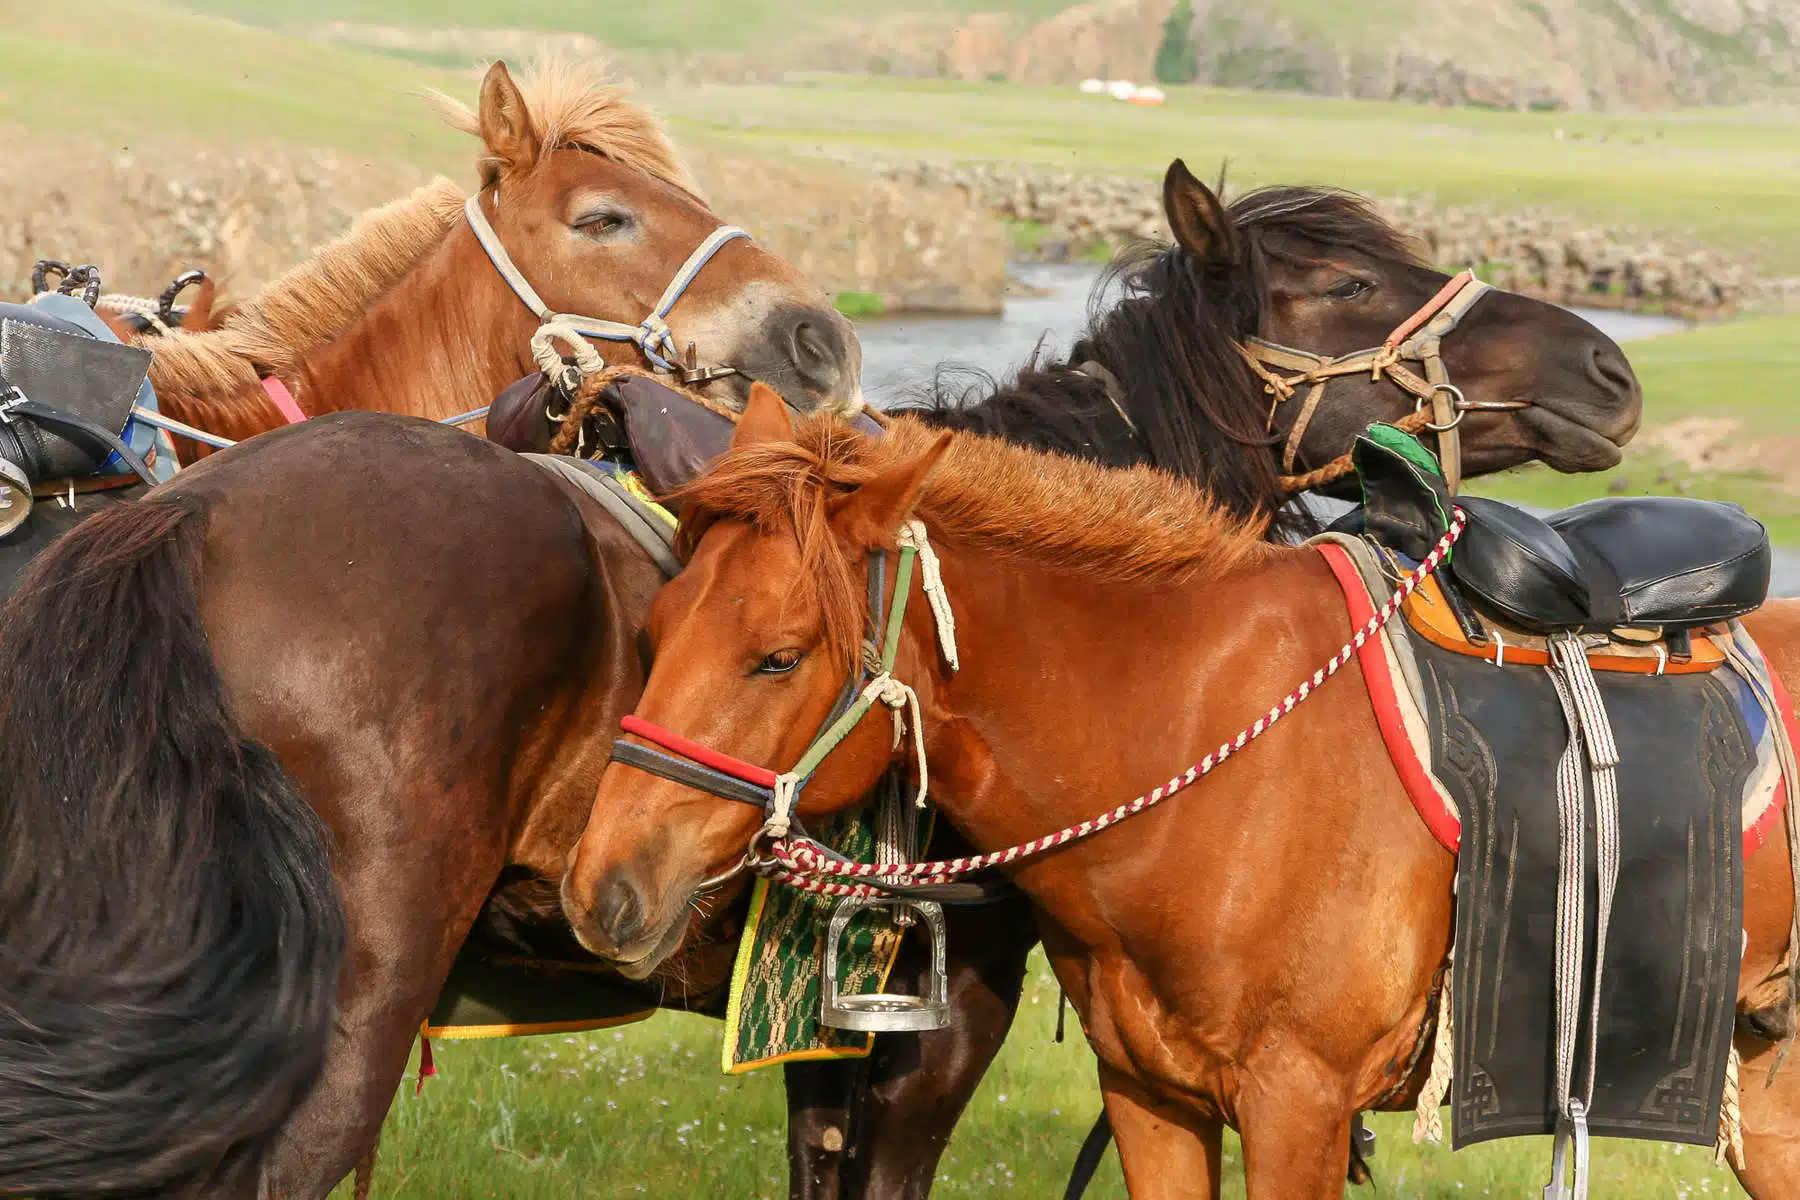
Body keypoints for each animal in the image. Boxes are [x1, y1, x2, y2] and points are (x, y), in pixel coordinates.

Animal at [561, 390, 1800, 1194]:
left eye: (776, 658)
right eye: (654, 631)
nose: (600, 890)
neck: (1200, 749)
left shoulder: (1299, 1107)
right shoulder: (1150, 1100)